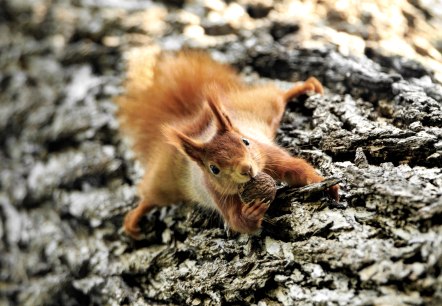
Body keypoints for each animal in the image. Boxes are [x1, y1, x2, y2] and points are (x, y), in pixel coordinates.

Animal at [116, 49, 338, 238]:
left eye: (245, 142)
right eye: (214, 169)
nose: (246, 169)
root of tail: (192, 120)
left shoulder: (268, 155)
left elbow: (296, 168)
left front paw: (324, 184)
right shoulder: (218, 193)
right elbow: (236, 220)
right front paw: (251, 212)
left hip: (258, 107)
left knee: (276, 97)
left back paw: (306, 86)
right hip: (165, 180)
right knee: (152, 197)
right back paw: (135, 216)